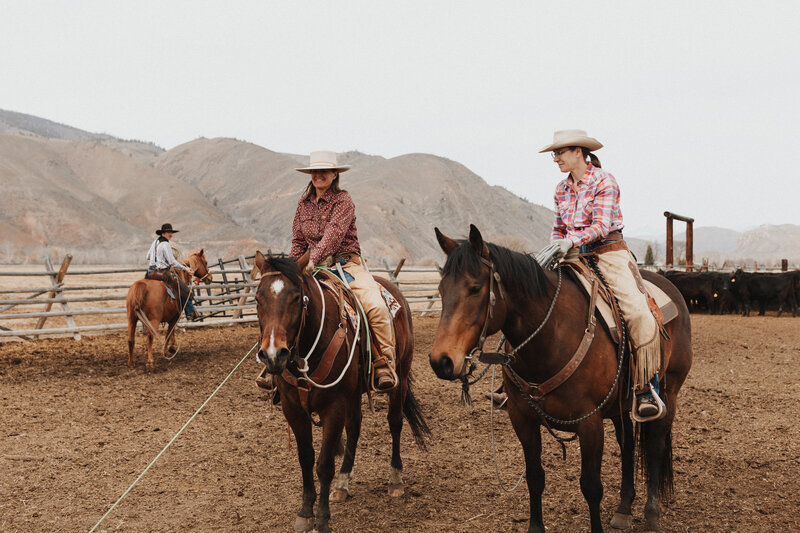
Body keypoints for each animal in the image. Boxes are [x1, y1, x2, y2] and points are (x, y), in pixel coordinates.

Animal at [255, 250, 432, 532]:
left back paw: (395, 480)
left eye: (297, 298)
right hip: (354, 394)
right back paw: (343, 482)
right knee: (355, 428)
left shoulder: (334, 407)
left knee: (395, 422)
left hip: (400, 378)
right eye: (258, 299)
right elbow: (306, 458)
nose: (273, 355)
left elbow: (324, 464)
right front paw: (305, 513)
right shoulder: (293, 409)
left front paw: (322, 519)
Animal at [428, 224, 692, 532]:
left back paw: (651, 514)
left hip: (669, 393)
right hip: (621, 404)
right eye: (441, 289)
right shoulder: (522, 419)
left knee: (655, 445)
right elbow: (534, 478)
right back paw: (624, 508)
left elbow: (591, 486)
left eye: (474, 288)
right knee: (627, 443)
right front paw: (535, 527)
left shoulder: (589, 422)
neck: (551, 334)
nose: (441, 361)